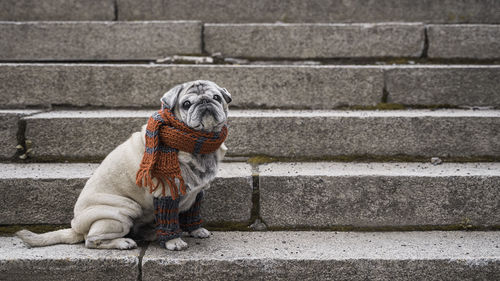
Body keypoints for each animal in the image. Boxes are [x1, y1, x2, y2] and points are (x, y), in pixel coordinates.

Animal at [16, 80, 231, 250]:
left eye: (216, 97)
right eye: (186, 104)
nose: (205, 101)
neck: (196, 144)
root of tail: (76, 227)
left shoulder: (198, 193)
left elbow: (193, 214)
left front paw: (196, 230)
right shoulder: (167, 193)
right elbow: (169, 221)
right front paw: (173, 241)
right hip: (123, 212)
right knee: (91, 240)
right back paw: (122, 242)